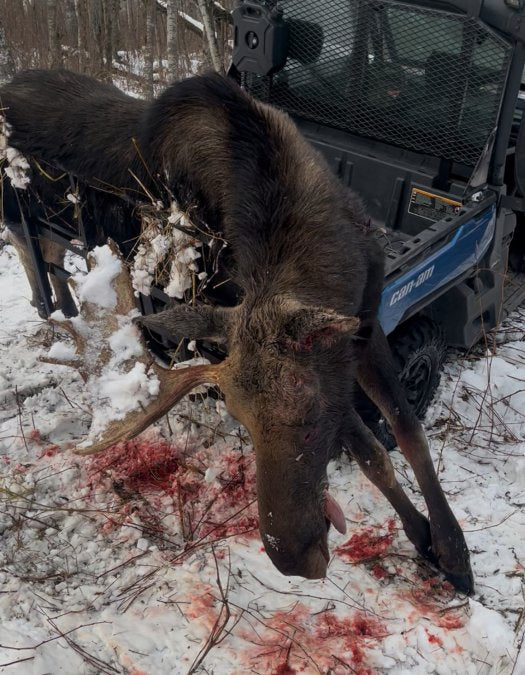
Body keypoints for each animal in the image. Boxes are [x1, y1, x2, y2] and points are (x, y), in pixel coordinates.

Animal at [0, 69, 474, 593]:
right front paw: (429, 540)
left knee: (51, 271)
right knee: (37, 271)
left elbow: (409, 432)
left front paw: (454, 553)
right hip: (18, 223)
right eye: (241, 420)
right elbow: (373, 453)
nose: (294, 558)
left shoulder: (363, 326)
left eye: (311, 422)